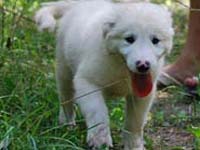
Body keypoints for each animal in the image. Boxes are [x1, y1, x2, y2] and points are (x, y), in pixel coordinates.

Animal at [35, 0, 173, 149]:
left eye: (155, 40)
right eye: (129, 39)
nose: (143, 65)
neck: (121, 69)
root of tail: (76, 4)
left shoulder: (143, 94)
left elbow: (135, 122)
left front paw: (134, 145)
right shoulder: (87, 82)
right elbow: (98, 113)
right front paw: (100, 141)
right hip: (64, 69)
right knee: (66, 100)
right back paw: (66, 124)